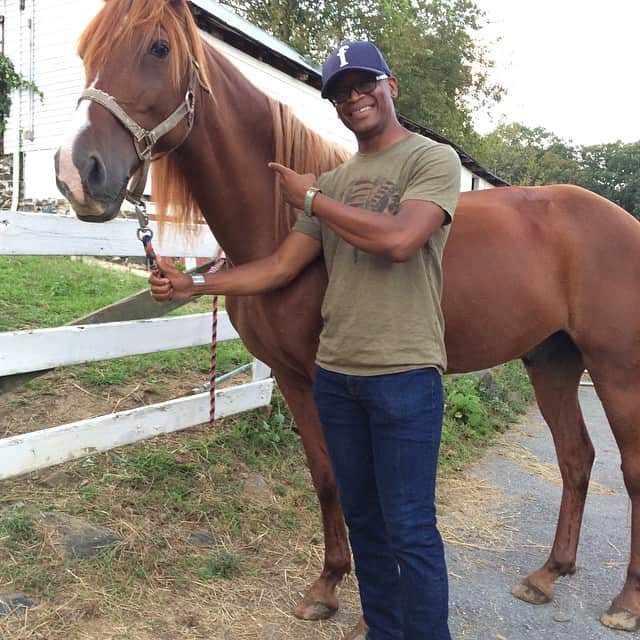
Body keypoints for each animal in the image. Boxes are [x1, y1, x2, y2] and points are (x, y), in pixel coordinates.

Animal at [53, 0, 640, 632]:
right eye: (85, 51)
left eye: (159, 48)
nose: (76, 174)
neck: (275, 226)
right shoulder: (293, 378)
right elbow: (327, 477)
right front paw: (328, 585)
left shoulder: (329, 379)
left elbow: (363, 490)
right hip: (552, 359)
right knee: (577, 457)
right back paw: (548, 574)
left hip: (616, 370)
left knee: (630, 470)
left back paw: (625, 602)